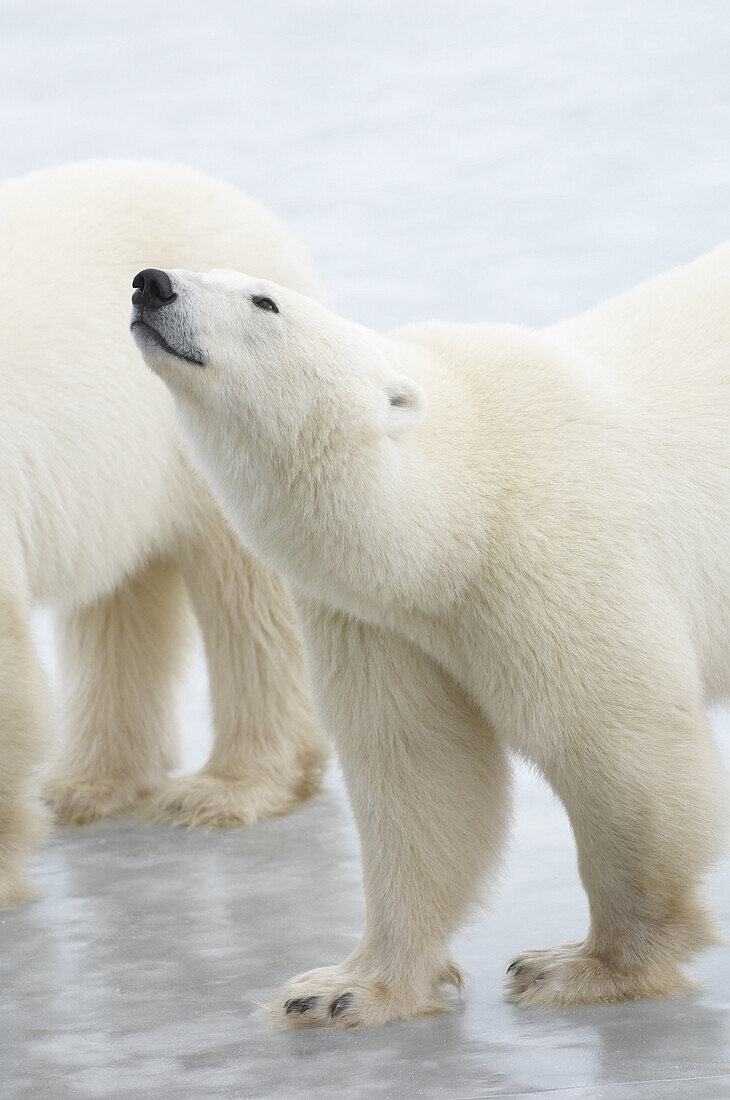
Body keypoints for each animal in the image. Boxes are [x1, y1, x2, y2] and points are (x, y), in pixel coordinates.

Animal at [132, 247, 729, 1020]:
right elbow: (419, 765)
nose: (151, 283)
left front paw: (586, 965)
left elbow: (616, 739)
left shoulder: (556, 547)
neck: (461, 507)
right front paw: (341, 990)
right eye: (203, 267)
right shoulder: (380, 622)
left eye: (265, 301)